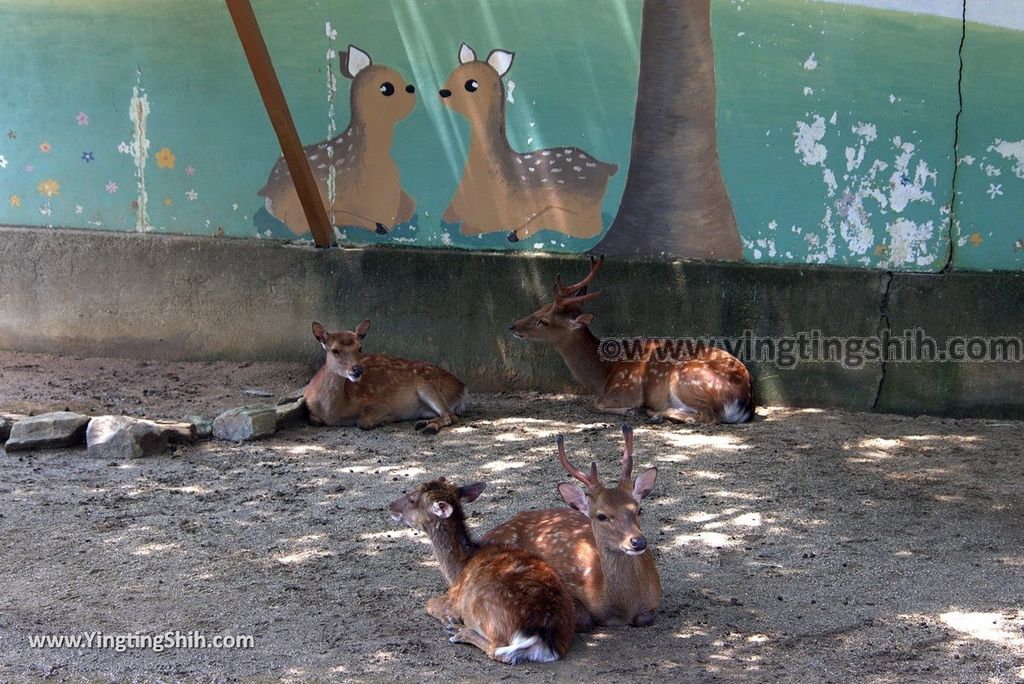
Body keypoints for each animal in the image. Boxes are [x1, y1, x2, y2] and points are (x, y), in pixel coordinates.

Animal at [260, 45, 415, 236]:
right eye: (386, 88)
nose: (412, 88)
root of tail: (268, 192)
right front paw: (379, 226)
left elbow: (410, 205)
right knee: (297, 224)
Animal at [301, 319, 466, 432]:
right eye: (335, 350)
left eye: (360, 348)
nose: (357, 370)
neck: (333, 412)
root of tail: (462, 388)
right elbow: (314, 420)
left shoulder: (380, 403)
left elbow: (362, 421)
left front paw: (389, 418)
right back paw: (423, 423)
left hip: (426, 385)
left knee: (450, 415)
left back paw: (429, 427)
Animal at [387, 479, 577, 663]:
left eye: (412, 499)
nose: (390, 505)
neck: (457, 569)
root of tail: (542, 634)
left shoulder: (453, 600)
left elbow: (429, 603)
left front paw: (450, 619)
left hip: (483, 611)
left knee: (498, 650)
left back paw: (459, 631)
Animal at [438, 41, 614, 242]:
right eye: (453, 73)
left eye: (471, 84)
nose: (443, 91)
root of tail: (606, 168)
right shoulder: (451, 211)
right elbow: (446, 216)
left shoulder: (491, 220)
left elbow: (467, 228)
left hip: (584, 206)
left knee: (588, 227)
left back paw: (517, 233)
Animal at [509, 254, 757, 423]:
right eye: (540, 308)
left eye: (543, 321)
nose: (512, 326)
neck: (605, 374)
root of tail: (745, 401)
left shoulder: (625, 389)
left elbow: (594, 404)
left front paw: (631, 410)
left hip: (686, 377)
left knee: (709, 415)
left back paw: (655, 413)